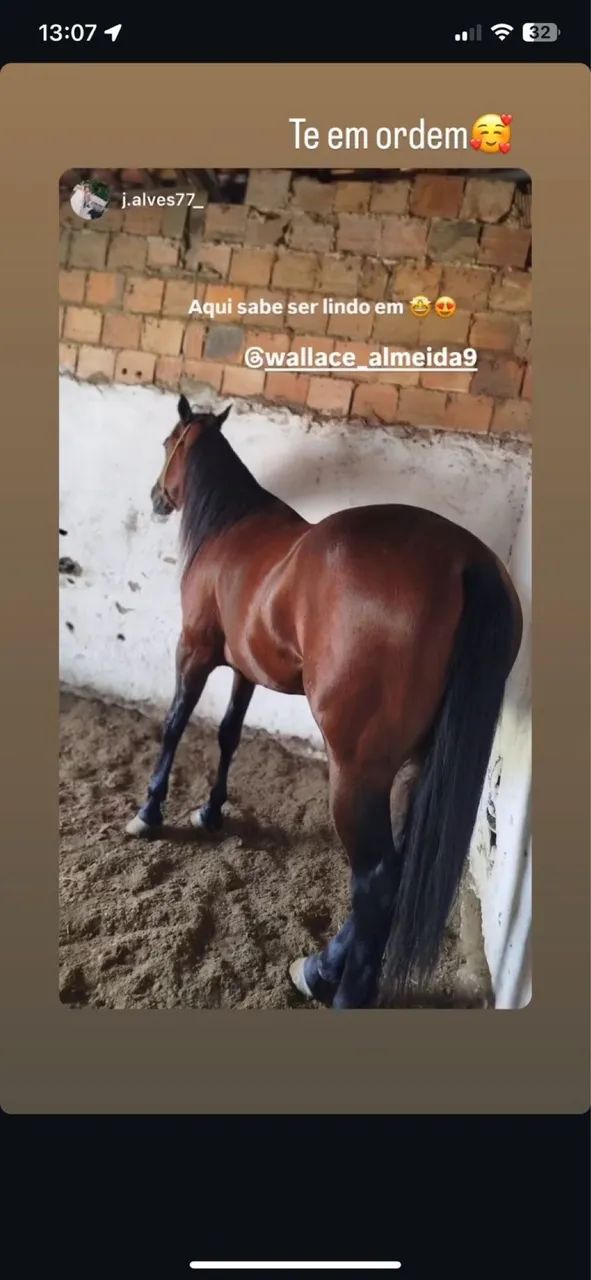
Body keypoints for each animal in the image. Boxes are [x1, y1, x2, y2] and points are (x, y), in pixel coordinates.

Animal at [125, 394, 522, 1009]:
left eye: (169, 442)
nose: (154, 498)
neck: (229, 528)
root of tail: (467, 563)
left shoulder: (192, 652)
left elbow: (174, 726)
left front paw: (149, 813)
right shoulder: (245, 669)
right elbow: (229, 735)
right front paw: (211, 812)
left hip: (356, 770)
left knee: (376, 879)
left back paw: (340, 989)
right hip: (418, 762)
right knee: (397, 866)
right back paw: (319, 968)